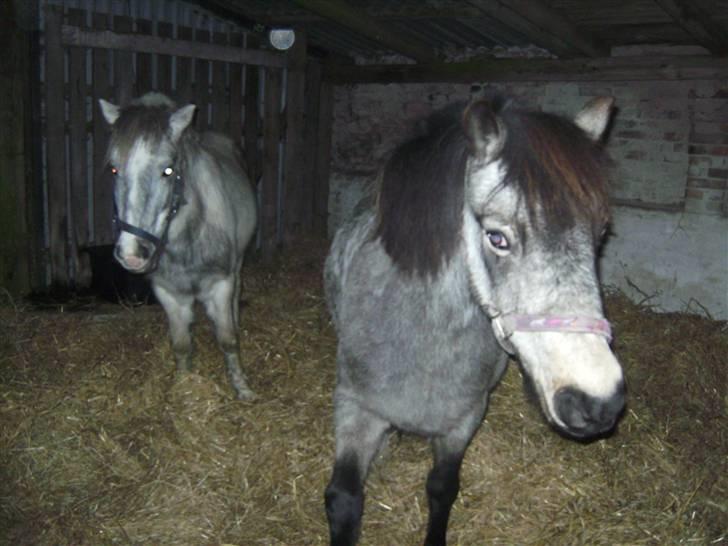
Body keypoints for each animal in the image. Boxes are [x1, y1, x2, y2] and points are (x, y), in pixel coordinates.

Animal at [99, 92, 257, 400]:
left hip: (238, 265)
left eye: (168, 170)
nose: (131, 254)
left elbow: (228, 339)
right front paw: (185, 386)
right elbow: (182, 345)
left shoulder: (220, 284)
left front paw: (242, 387)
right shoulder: (169, 293)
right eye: (113, 169)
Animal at [323, 97, 626, 545]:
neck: (423, 343)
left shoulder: (463, 420)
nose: (597, 400)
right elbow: (344, 498)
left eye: (601, 234)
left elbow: (442, 488)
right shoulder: (355, 408)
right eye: (497, 237)